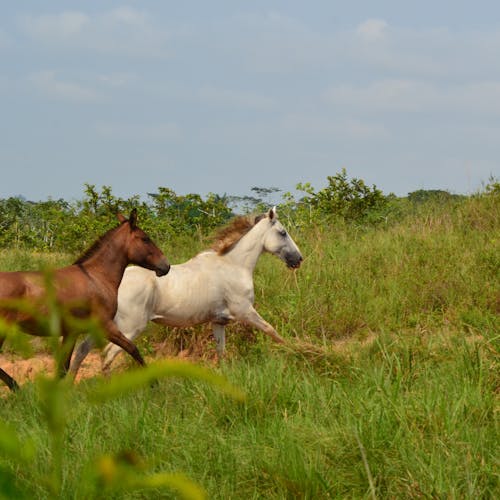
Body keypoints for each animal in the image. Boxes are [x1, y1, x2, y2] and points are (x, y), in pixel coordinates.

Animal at [0, 207, 170, 390]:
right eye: (145, 239)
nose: (165, 266)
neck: (96, 277)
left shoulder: (71, 333)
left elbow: (63, 368)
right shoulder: (105, 326)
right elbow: (133, 349)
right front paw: (154, 383)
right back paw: (16, 387)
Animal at [69, 207, 300, 376]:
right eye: (283, 232)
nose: (298, 259)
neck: (234, 265)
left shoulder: (219, 321)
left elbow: (221, 352)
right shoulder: (244, 311)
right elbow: (272, 331)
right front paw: (293, 351)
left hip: (105, 326)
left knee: (81, 352)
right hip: (128, 328)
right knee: (107, 356)